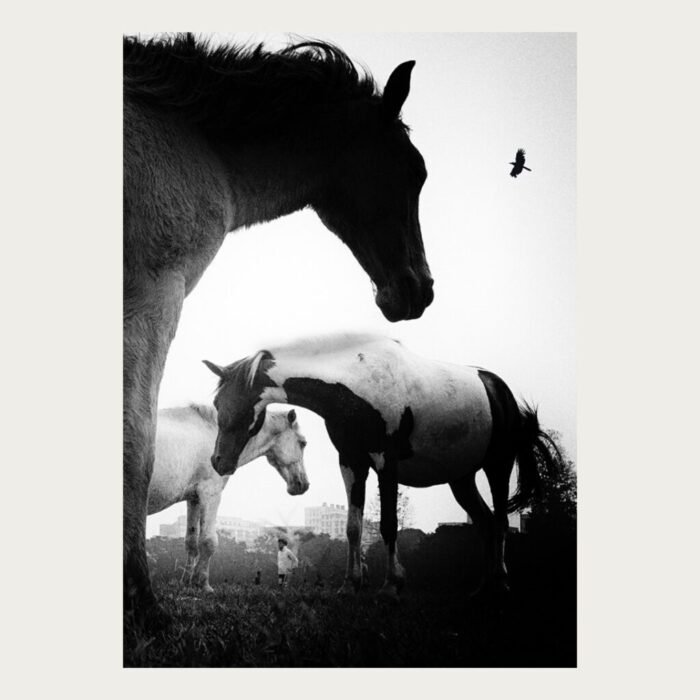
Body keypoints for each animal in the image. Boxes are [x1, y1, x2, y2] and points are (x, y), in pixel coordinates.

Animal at [148, 404, 308, 592]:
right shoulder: (210, 493)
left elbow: (191, 542)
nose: (303, 484)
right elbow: (208, 541)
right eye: (303, 443)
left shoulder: (194, 499)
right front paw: (203, 585)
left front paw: (186, 583)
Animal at [203, 333, 565, 599]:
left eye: (236, 404)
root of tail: (500, 392)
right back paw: (482, 587)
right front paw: (351, 584)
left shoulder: (385, 462)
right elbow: (353, 527)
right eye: (216, 403)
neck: (358, 382)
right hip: (461, 479)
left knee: (501, 521)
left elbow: (389, 524)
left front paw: (391, 585)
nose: (218, 461)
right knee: (486, 523)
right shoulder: (352, 462)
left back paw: (501, 583)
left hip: (497, 466)